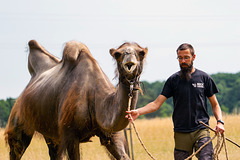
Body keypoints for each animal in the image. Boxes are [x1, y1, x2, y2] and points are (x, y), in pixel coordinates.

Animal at [4, 40, 148, 160]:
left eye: (142, 53)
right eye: (117, 54)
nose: (129, 62)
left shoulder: (112, 134)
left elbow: (123, 155)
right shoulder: (70, 134)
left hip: (51, 133)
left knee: (54, 152)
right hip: (18, 121)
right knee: (16, 149)